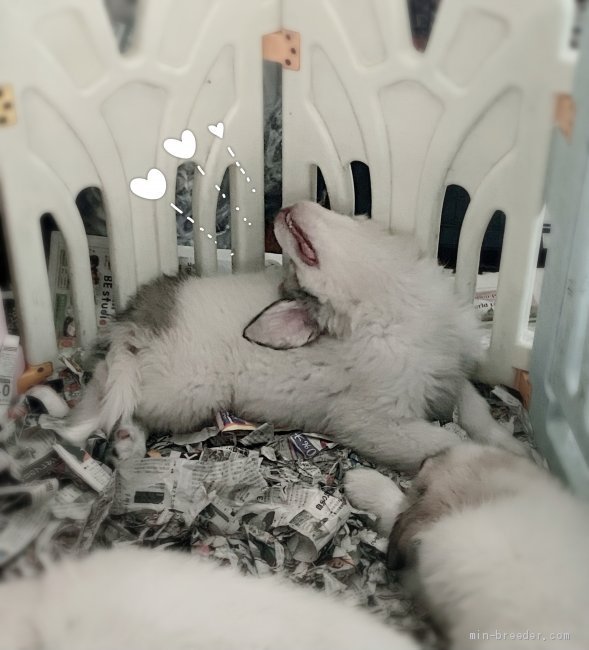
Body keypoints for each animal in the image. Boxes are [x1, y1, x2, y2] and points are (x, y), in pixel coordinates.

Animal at [43, 201, 526, 466]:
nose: (277, 211)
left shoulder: (449, 374)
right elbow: (446, 442)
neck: (394, 308)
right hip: (186, 391)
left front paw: (512, 445)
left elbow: (477, 413)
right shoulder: (373, 422)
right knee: (113, 394)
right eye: (292, 272)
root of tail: (135, 319)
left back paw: (124, 440)